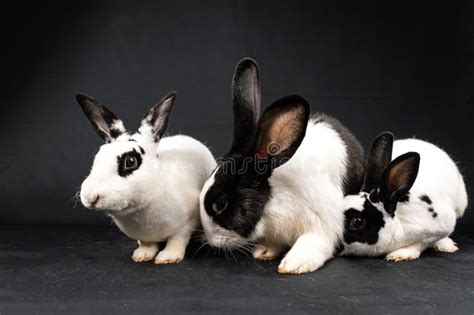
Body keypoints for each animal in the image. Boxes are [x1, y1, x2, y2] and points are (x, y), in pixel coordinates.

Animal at [76, 91, 217, 264]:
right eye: (98, 156)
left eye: (131, 161)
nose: (90, 197)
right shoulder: (144, 235)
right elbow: (147, 243)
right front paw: (141, 255)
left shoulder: (186, 223)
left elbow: (177, 240)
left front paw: (167, 258)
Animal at [198, 58, 364, 274]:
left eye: (220, 204)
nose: (209, 240)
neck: (273, 201)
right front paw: (264, 251)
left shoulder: (321, 223)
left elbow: (314, 241)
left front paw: (295, 263)